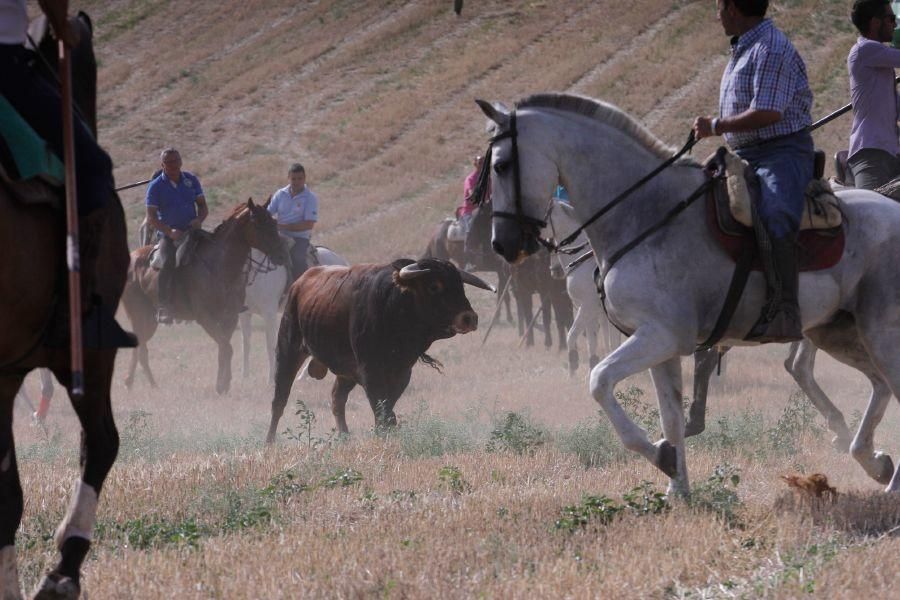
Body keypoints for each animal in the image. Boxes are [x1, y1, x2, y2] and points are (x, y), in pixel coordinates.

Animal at [123, 199, 284, 396]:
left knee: (140, 349)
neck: (219, 266)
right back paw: (146, 385)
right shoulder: (205, 318)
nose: (282, 253)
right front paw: (222, 385)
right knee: (141, 349)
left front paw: (223, 384)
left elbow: (224, 348)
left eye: (274, 222)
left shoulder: (230, 317)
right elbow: (227, 348)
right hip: (138, 315)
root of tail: (132, 258)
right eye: (259, 224)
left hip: (149, 319)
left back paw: (140, 384)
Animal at [241, 241, 350, 382]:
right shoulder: (245, 314)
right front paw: (245, 377)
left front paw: (271, 379)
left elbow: (270, 346)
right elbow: (246, 344)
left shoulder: (269, 314)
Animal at [264, 258, 496, 440]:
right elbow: (382, 411)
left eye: (460, 285)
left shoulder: (401, 373)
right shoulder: (370, 371)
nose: (469, 318)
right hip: (288, 350)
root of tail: (300, 282)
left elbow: (388, 409)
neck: (394, 307)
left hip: (346, 372)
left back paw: (345, 437)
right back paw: (270, 442)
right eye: (434, 286)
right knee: (279, 400)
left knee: (337, 399)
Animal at [482, 94, 900, 494]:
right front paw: (677, 486)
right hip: (837, 332)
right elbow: (671, 417)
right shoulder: (657, 344)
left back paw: (888, 482)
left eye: (501, 165)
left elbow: (599, 380)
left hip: (879, 333)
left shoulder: (661, 336)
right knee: (877, 385)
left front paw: (661, 457)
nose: (501, 245)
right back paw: (873, 461)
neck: (648, 214)